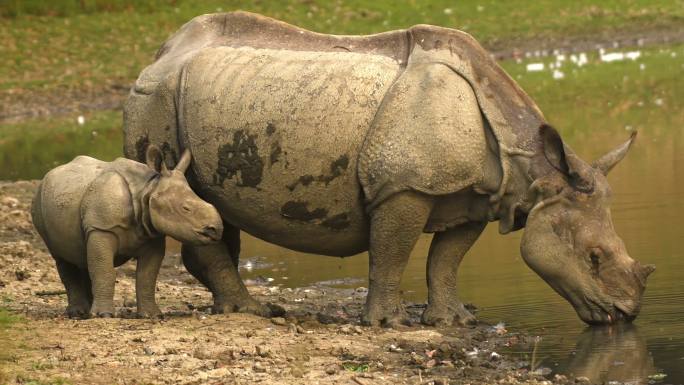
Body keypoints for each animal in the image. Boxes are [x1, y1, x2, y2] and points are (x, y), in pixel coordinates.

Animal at [32, 146, 222, 316]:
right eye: (185, 208)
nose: (216, 230)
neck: (147, 189)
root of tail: (49, 174)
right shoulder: (101, 228)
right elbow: (105, 271)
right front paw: (103, 315)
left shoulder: (152, 233)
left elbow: (147, 276)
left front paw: (151, 315)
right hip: (38, 203)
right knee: (61, 257)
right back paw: (78, 313)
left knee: (82, 256)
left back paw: (87, 311)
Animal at [125, 11, 656, 324]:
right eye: (593, 257)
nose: (625, 314)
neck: (536, 173)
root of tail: (161, 52)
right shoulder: (404, 186)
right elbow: (393, 251)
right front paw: (387, 323)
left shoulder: (477, 194)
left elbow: (447, 258)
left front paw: (453, 321)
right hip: (155, 98)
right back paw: (251, 312)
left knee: (213, 206)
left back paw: (238, 309)